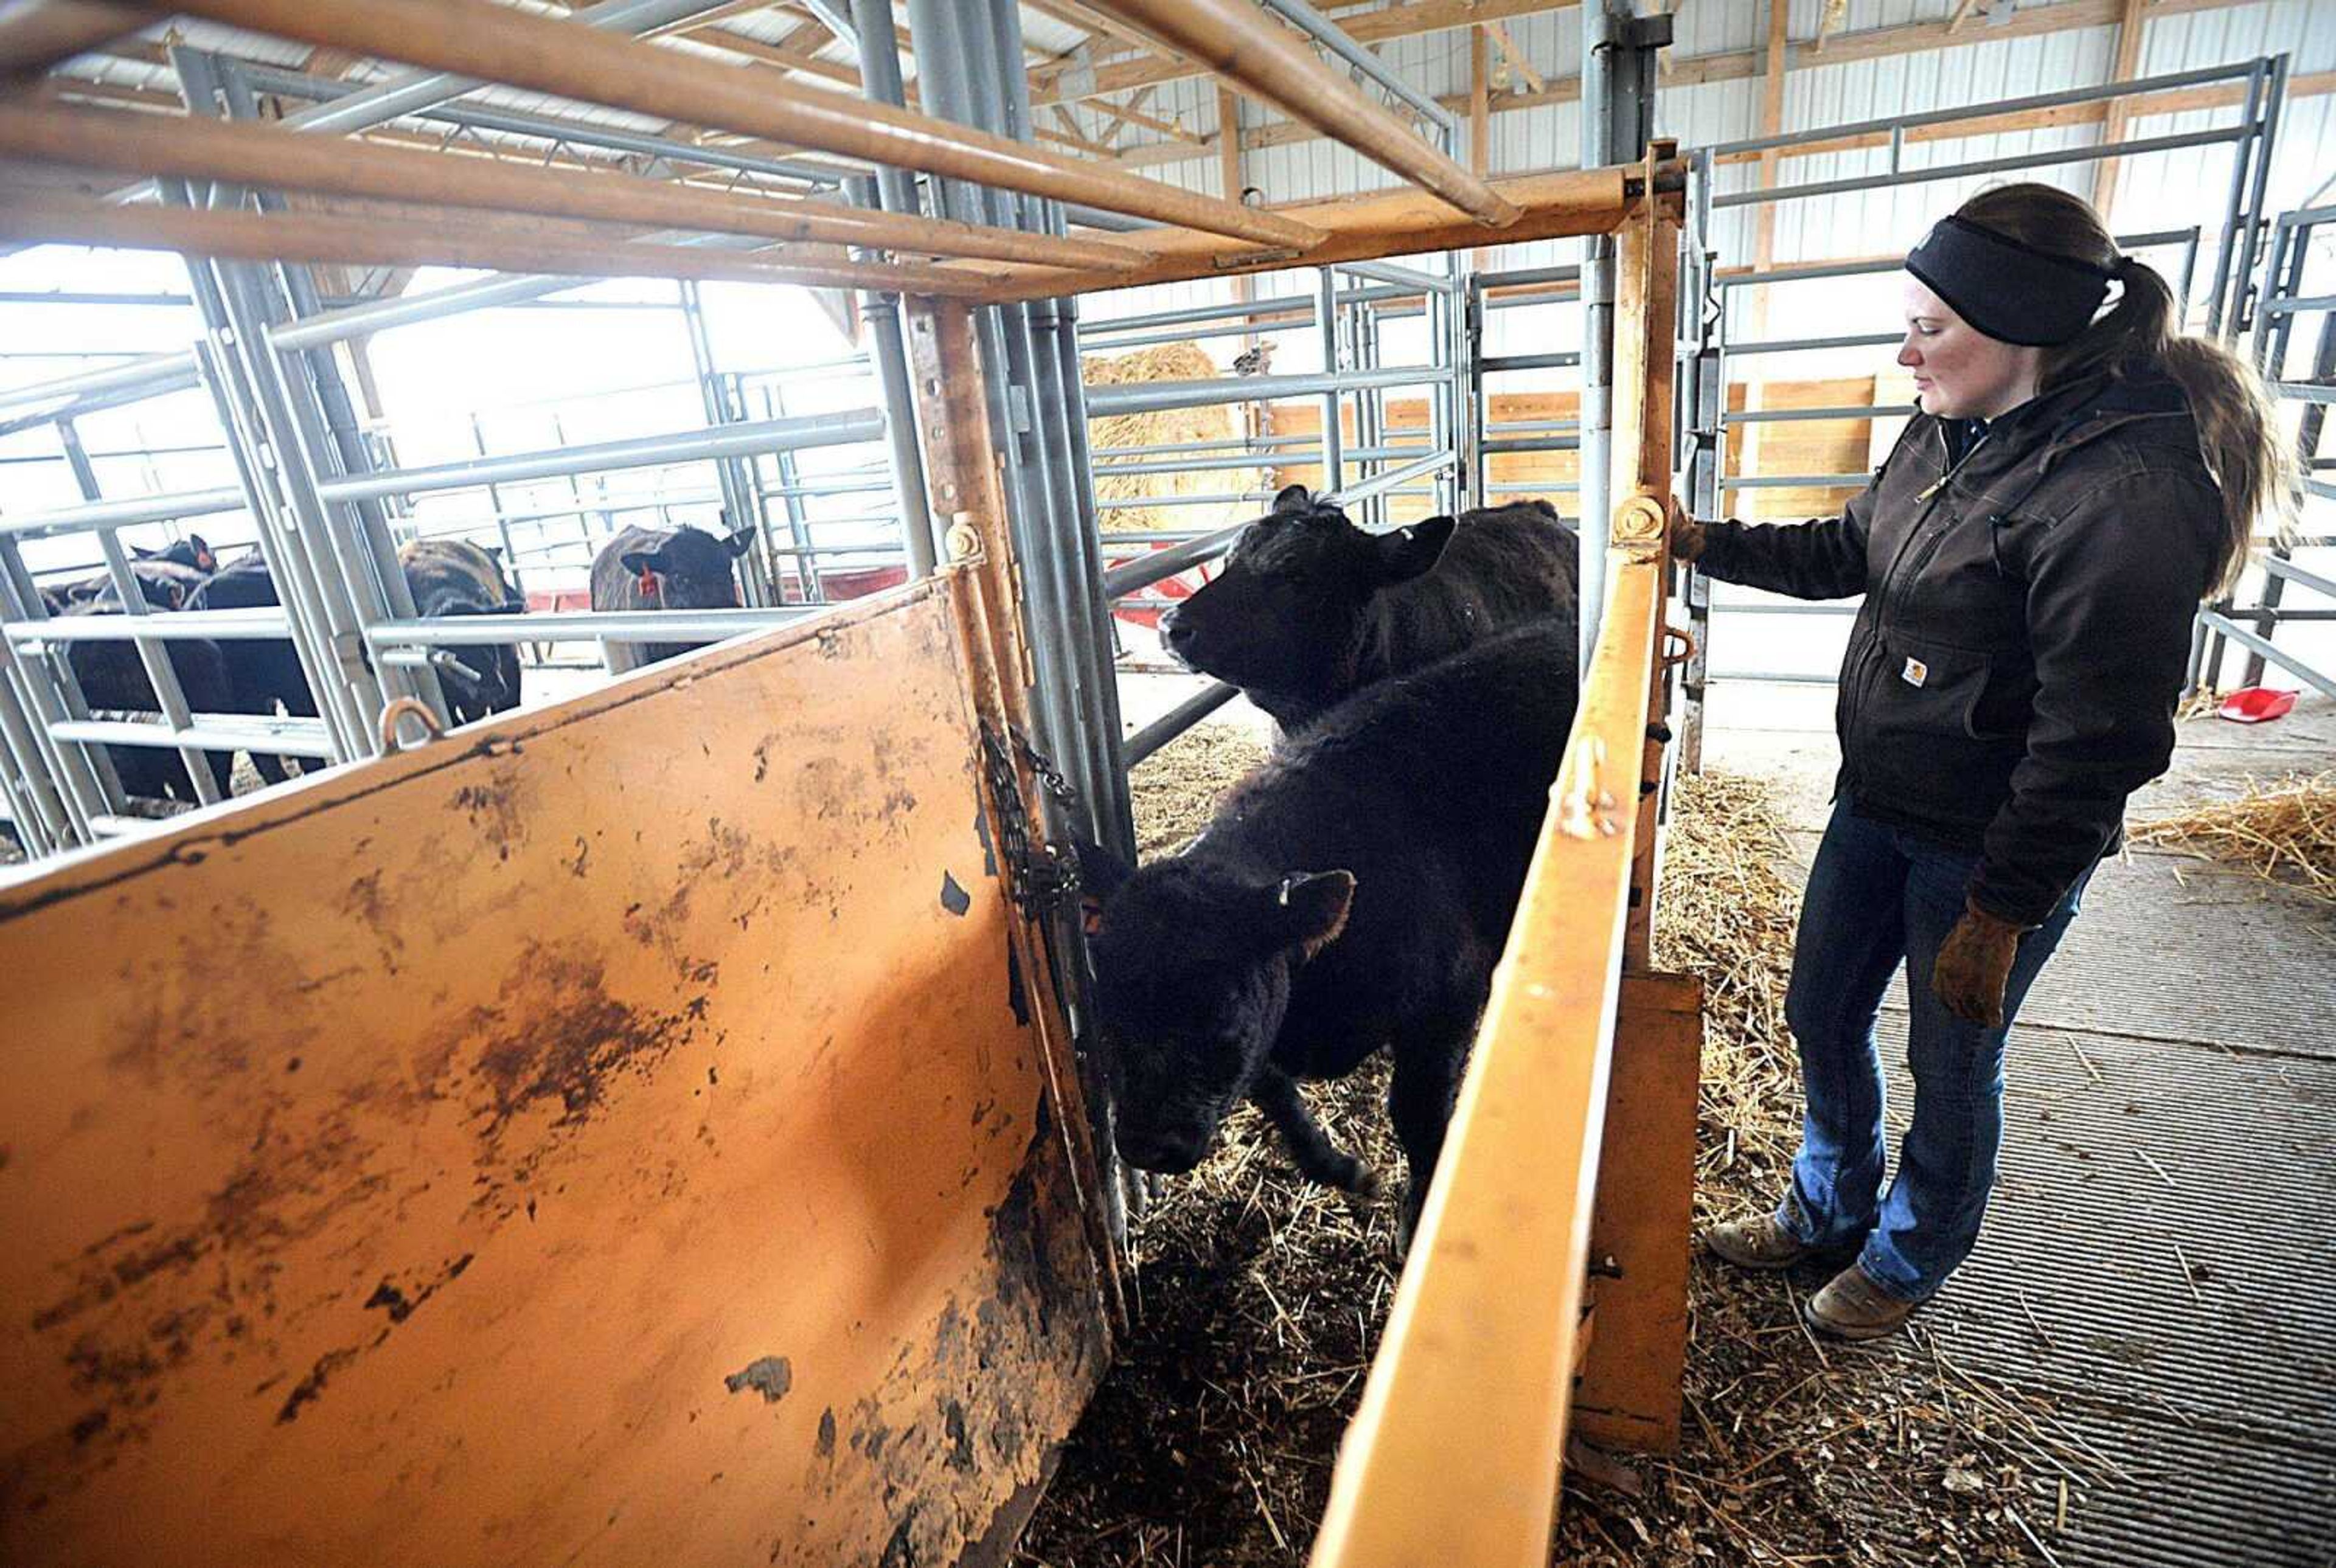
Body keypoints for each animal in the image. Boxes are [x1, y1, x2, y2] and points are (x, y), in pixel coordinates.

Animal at [1083, 612, 1579, 1252]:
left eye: (1222, 1014)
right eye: (1106, 1007)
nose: (1148, 1144)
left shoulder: (1449, 999)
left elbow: (1418, 1113)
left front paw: (1417, 1219)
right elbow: (1275, 1094)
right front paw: (1339, 1167)